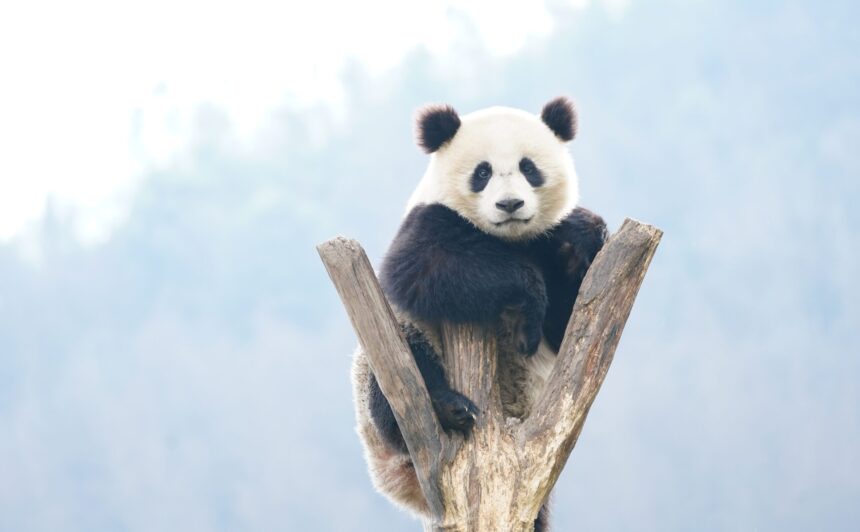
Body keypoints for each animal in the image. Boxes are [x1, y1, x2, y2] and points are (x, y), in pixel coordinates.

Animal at [350, 97, 608, 531]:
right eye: (482, 172)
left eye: (528, 167)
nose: (510, 205)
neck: (509, 239)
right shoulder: (428, 220)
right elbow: (422, 268)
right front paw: (528, 301)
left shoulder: (547, 248)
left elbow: (573, 323)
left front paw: (584, 231)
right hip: (385, 366)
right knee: (399, 371)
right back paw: (448, 407)